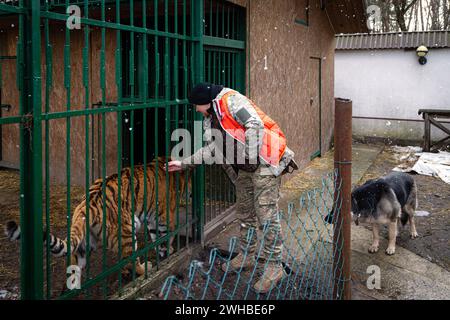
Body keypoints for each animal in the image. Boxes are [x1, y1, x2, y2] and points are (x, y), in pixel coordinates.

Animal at [5, 158, 192, 278]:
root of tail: (85, 206)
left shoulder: (154, 219)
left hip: (84, 244)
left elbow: (157, 237)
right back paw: (146, 268)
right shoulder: (165, 216)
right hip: (127, 232)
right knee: (129, 261)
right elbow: (165, 236)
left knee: (72, 264)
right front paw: (169, 251)